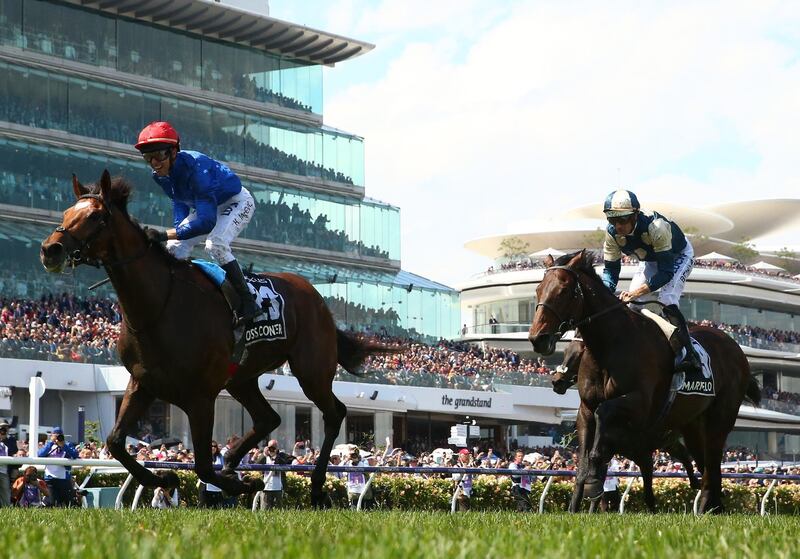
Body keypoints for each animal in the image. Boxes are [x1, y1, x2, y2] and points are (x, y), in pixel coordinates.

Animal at [41, 172, 390, 508]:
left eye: (96, 216)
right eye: (67, 212)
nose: (50, 249)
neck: (158, 304)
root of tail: (316, 298)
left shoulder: (201, 396)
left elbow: (203, 467)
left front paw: (241, 483)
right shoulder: (142, 383)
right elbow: (115, 443)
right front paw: (166, 478)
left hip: (312, 371)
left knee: (334, 413)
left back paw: (316, 488)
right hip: (241, 378)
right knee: (269, 417)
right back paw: (233, 460)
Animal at [552, 334, 696, 516]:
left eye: (577, 355)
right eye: (565, 351)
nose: (556, 381)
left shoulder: (642, 453)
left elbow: (647, 490)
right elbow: (586, 475)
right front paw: (575, 509)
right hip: (668, 442)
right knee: (684, 454)